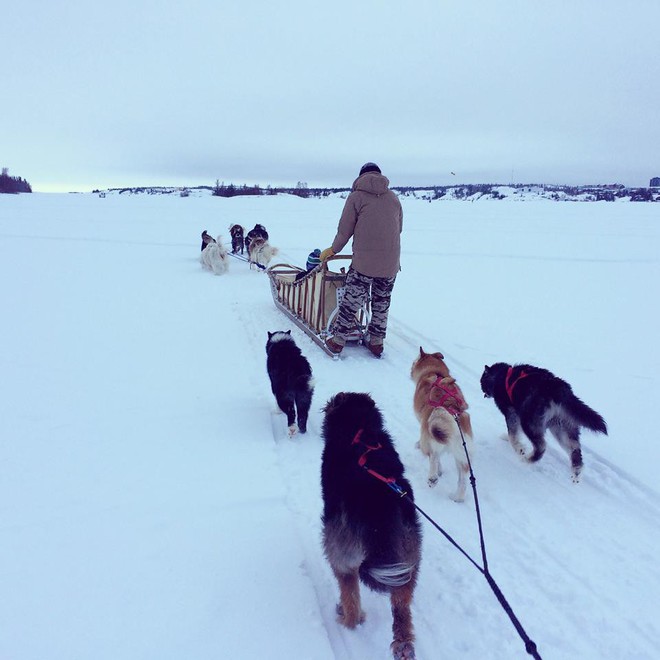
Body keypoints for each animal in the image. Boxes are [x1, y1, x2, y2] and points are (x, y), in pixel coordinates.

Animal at [320, 392, 422, 660]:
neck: (360, 431)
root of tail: (377, 503)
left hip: (340, 550)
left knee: (350, 595)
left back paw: (348, 617)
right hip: (408, 554)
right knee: (401, 604)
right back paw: (403, 645)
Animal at [410, 350, 472, 500]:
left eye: (414, 361)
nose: (411, 368)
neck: (435, 372)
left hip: (431, 439)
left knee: (433, 457)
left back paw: (433, 477)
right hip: (462, 454)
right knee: (462, 480)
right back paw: (457, 498)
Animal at [480, 360, 608, 480]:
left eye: (482, 382)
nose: (483, 392)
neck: (502, 375)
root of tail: (558, 388)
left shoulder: (511, 412)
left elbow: (513, 434)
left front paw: (519, 448)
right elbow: (514, 432)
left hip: (529, 422)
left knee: (541, 446)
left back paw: (528, 459)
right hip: (561, 428)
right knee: (575, 448)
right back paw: (577, 472)